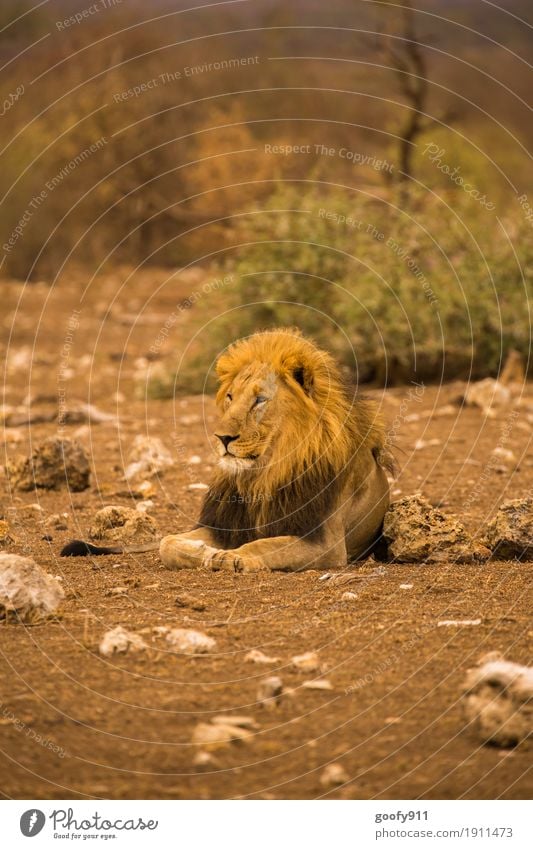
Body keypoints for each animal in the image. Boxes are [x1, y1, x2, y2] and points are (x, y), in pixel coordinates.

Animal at [63, 328, 394, 572]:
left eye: (260, 400)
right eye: (231, 396)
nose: (222, 437)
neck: (265, 473)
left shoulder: (326, 543)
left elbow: (264, 545)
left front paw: (232, 557)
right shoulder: (224, 525)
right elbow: (167, 542)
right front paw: (203, 551)